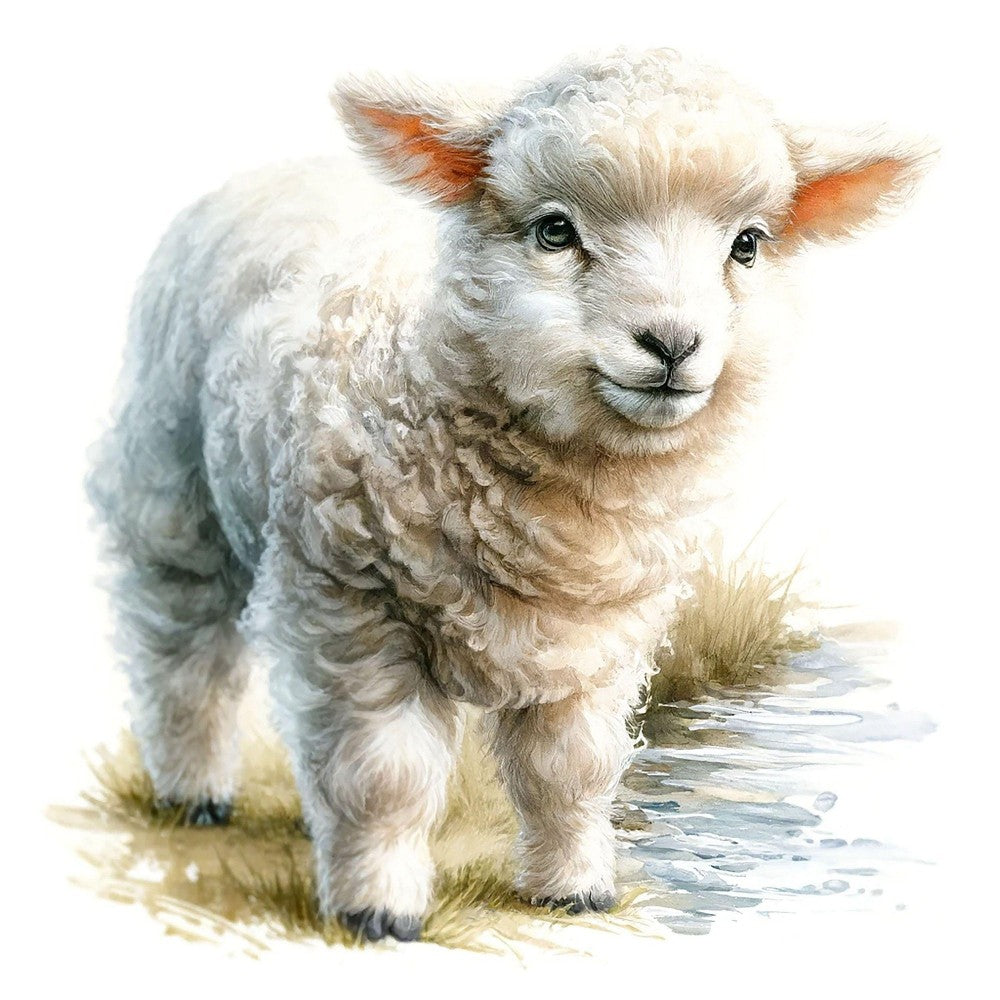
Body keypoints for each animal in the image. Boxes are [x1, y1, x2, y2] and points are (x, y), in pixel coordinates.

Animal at [87, 47, 932, 942]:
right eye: (555, 231)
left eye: (747, 245)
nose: (672, 343)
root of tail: (286, 168)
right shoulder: (350, 607)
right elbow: (383, 775)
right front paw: (378, 906)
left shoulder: (595, 643)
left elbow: (572, 772)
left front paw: (574, 886)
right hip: (171, 490)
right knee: (183, 652)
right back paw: (193, 787)